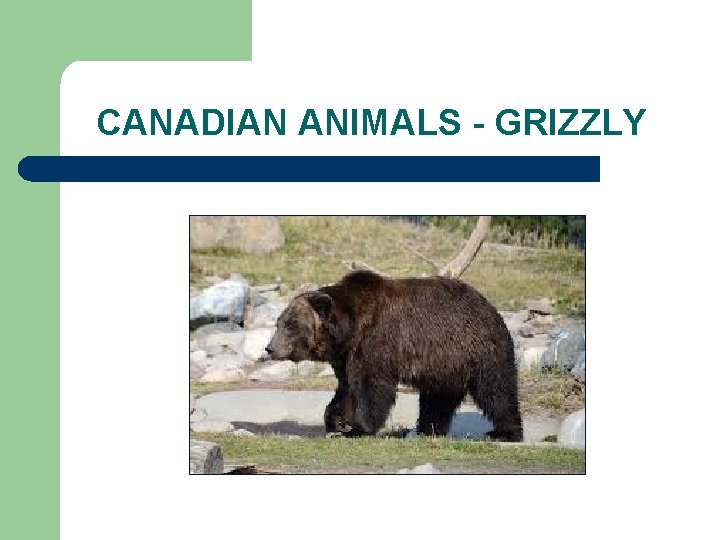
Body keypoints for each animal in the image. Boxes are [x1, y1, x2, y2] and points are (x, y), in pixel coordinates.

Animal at [265, 270, 523, 442]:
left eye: (291, 324)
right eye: (279, 322)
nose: (270, 348)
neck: (350, 328)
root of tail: (489, 306)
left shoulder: (377, 340)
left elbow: (372, 388)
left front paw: (359, 428)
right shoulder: (347, 356)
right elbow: (346, 389)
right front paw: (336, 422)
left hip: (479, 348)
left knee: (496, 390)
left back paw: (504, 432)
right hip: (445, 365)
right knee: (438, 399)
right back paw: (428, 429)